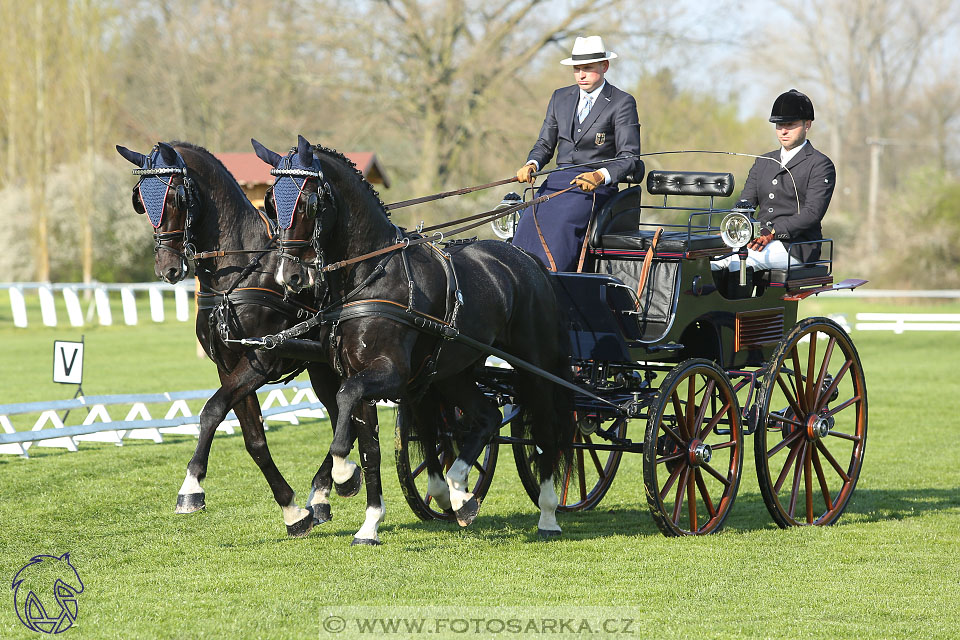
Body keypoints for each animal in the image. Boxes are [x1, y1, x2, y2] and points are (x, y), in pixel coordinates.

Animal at [112, 142, 368, 536]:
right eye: (140, 198)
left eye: (175, 197)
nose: (168, 268)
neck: (239, 273)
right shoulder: (228, 365)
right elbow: (254, 440)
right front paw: (292, 510)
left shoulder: (261, 362)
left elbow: (212, 410)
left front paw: (191, 488)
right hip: (322, 369)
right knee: (341, 415)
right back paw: (322, 495)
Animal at [251, 136, 572, 544]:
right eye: (271, 203)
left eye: (309, 201)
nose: (290, 277)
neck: (368, 276)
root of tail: (526, 257)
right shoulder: (360, 377)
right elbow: (370, 450)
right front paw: (369, 523)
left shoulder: (388, 374)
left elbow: (346, 404)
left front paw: (343, 476)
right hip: (454, 371)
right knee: (487, 416)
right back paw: (460, 494)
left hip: (536, 367)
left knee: (545, 431)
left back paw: (547, 513)